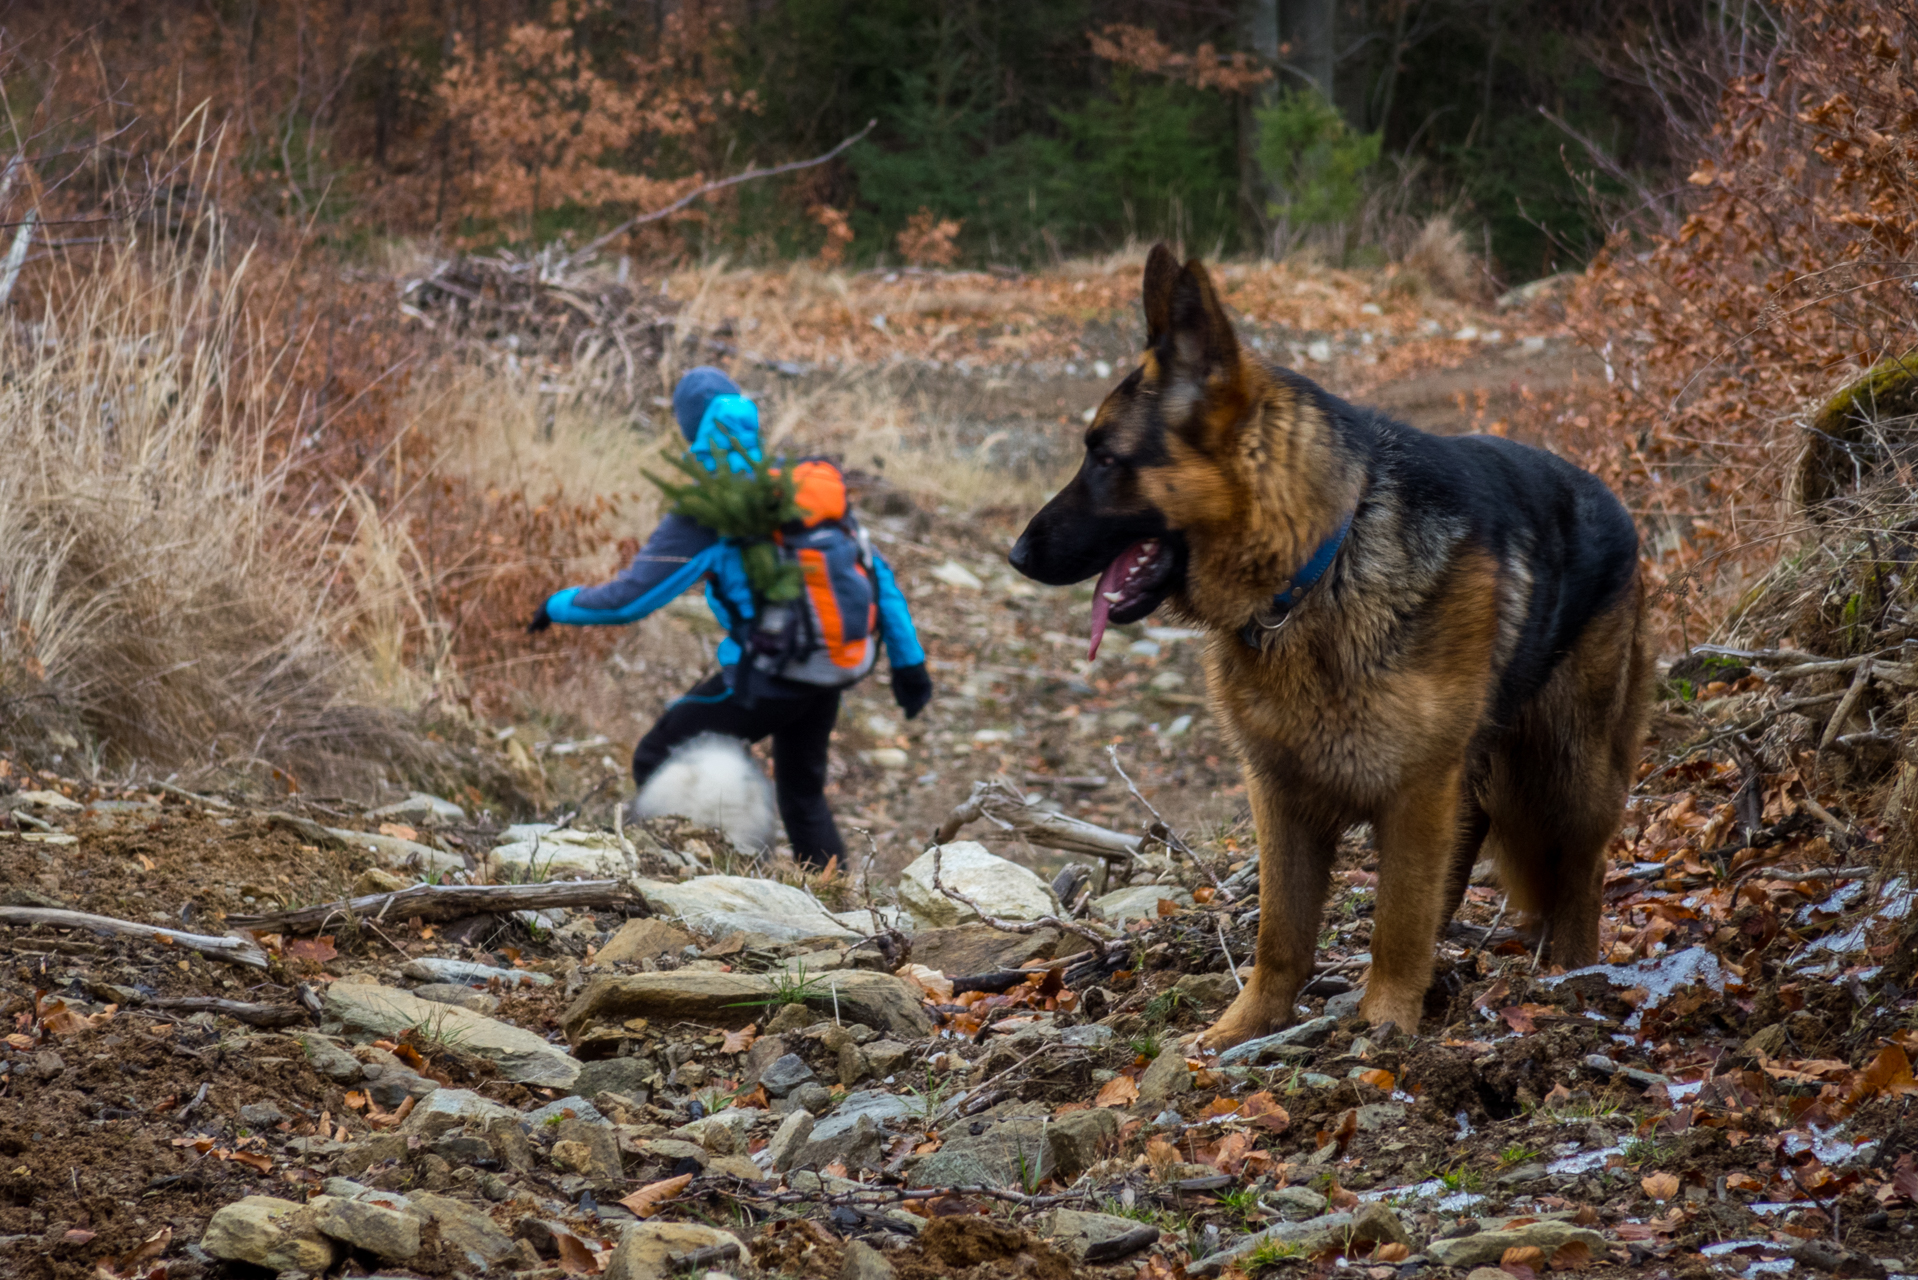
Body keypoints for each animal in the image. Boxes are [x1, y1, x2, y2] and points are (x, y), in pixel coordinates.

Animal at [1005, 245, 1649, 1043]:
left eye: (1103, 459)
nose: (1016, 555)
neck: (1316, 570)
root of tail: (1617, 502)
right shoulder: (1281, 797)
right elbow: (1281, 932)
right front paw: (1247, 1025)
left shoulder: (1415, 791)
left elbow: (1396, 920)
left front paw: (1385, 1024)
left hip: (1569, 767)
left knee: (1582, 868)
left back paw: (1572, 972)